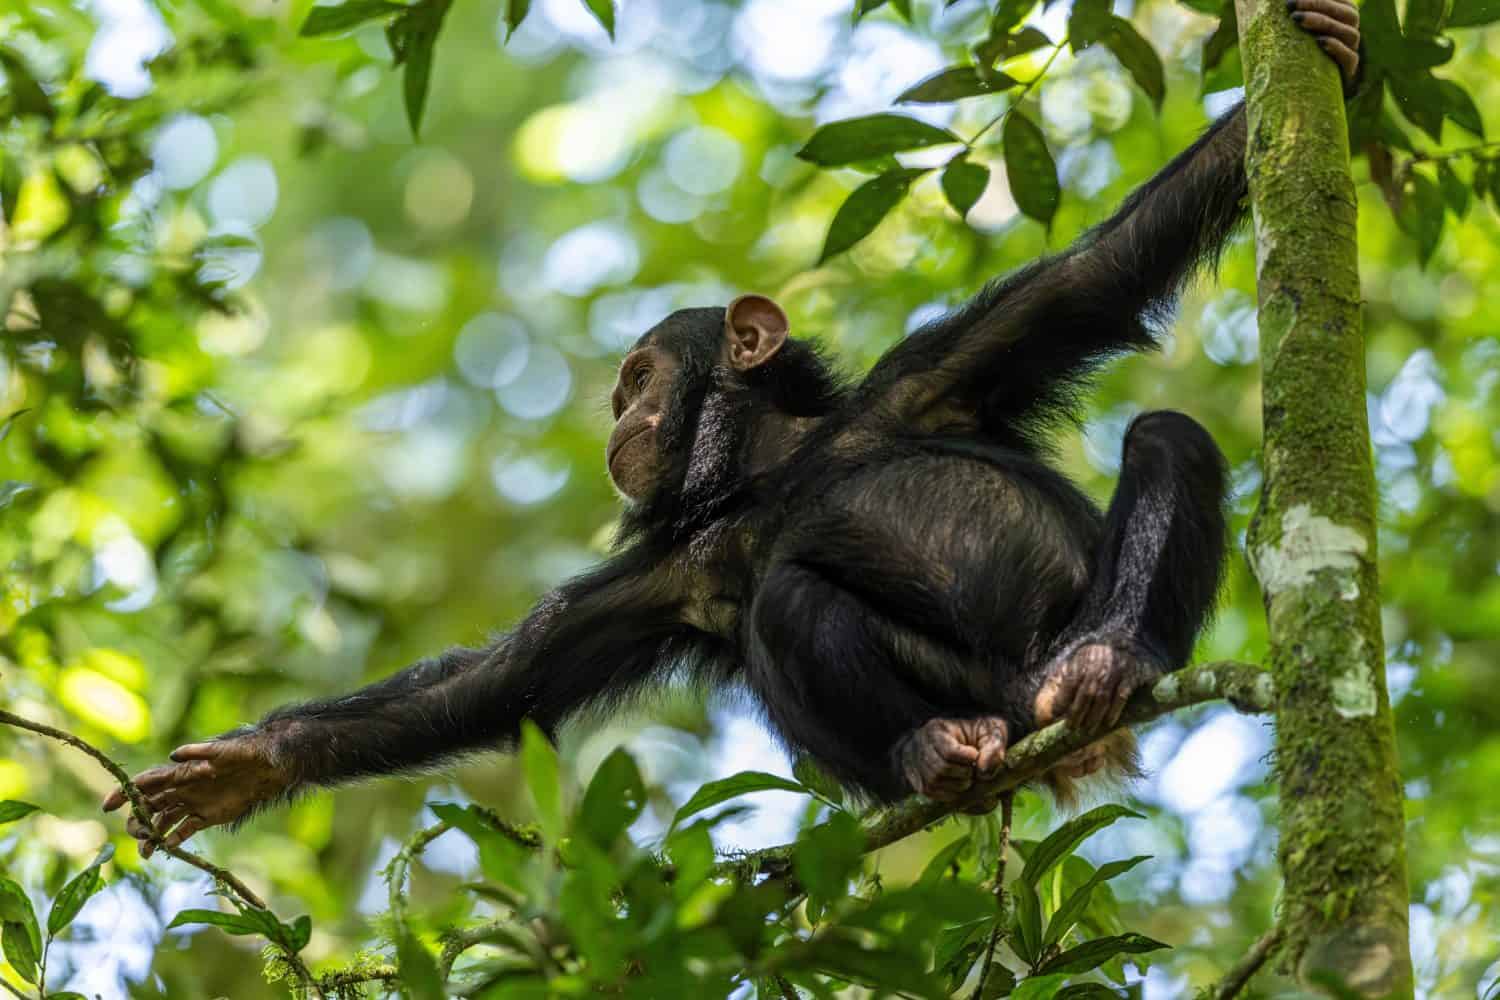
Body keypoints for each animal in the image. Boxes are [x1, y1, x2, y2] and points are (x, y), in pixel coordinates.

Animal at [104, 0, 1360, 855]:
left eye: (639, 373)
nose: (618, 414)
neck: (770, 468)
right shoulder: (666, 569)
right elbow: (501, 682)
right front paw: (247, 767)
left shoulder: (942, 370)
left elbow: (1109, 267)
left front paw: (1322, 55)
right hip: (978, 702)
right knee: (788, 603)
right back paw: (929, 751)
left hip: (1055, 658)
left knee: (1164, 441)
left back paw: (1109, 657)